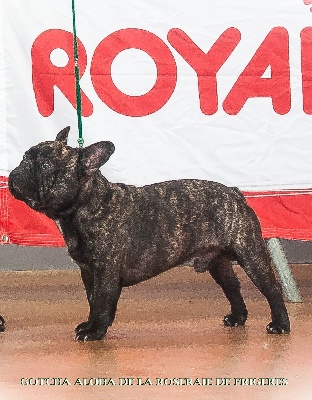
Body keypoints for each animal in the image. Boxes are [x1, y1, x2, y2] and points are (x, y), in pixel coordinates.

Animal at [7, 128, 290, 340]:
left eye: (45, 165)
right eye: (25, 157)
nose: (16, 170)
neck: (86, 205)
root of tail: (235, 192)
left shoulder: (105, 271)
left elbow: (101, 300)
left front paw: (95, 331)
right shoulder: (88, 272)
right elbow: (94, 300)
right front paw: (94, 325)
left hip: (250, 254)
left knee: (272, 288)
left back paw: (280, 325)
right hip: (218, 262)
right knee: (232, 286)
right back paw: (238, 318)